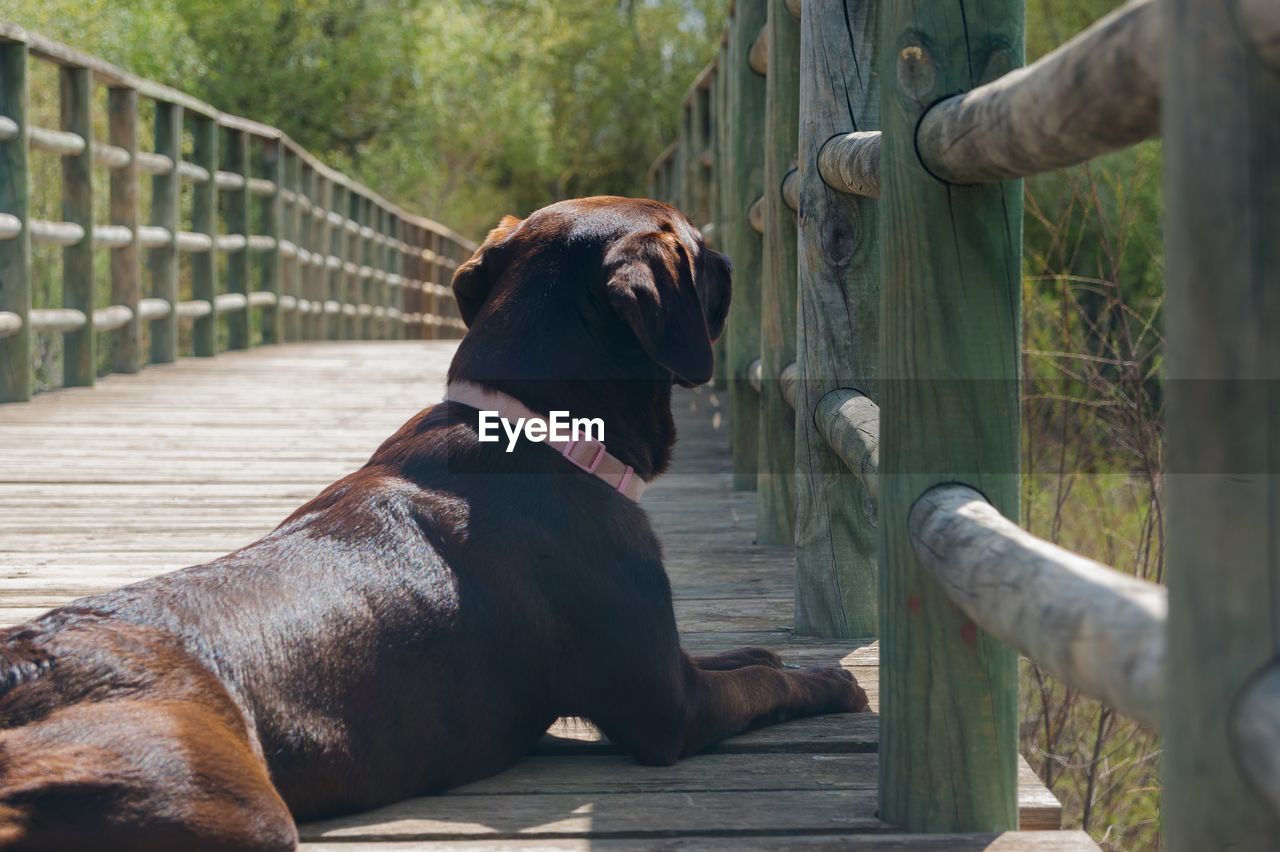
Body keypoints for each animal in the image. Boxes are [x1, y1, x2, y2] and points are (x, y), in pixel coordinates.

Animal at [0, 195, 870, 844]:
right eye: (693, 242)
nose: (727, 261)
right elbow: (764, 684)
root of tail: (25, 670)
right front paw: (832, 680)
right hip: (219, 798)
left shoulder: (674, 664)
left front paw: (768, 650)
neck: (538, 426)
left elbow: (743, 657)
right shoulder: (669, 706)